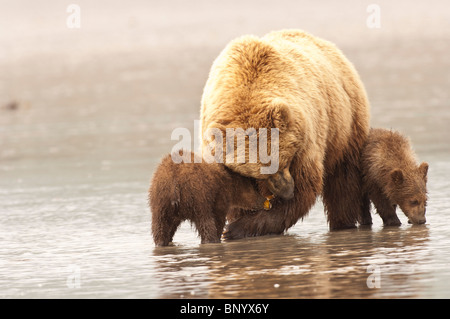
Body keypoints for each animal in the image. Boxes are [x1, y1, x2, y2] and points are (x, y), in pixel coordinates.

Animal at [200, 30, 370, 239]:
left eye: (284, 160)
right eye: (259, 172)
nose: (288, 191)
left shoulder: (304, 137)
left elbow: (306, 185)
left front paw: (236, 228)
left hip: (345, 122)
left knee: (343, 181)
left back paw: (343, 223)